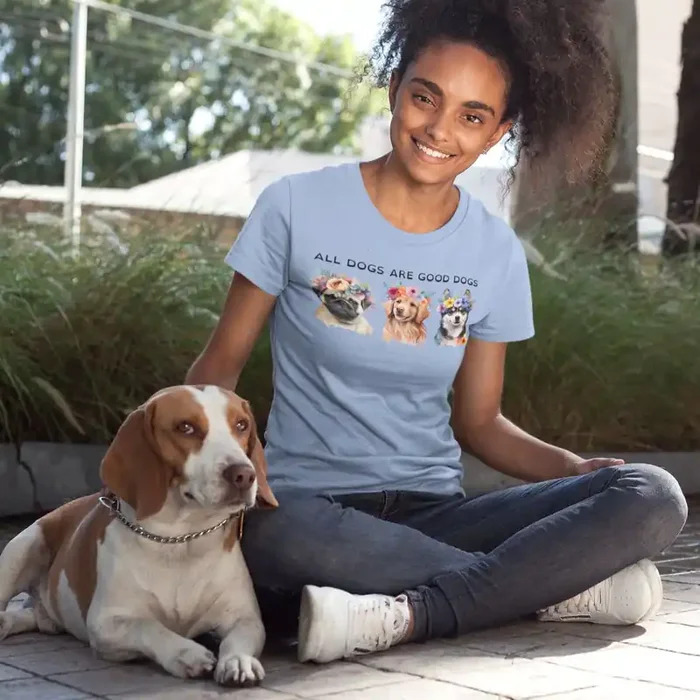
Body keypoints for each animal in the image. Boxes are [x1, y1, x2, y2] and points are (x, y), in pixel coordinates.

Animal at [0, 385, 277, 686]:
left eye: (242, 425)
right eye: (186, 427)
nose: (244, 475)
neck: (180, 540)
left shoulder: (245, 617)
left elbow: (237, 640)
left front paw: (238, 661)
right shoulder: (106, 623)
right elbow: (149, 626)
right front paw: (186, 652)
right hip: (20, 550)